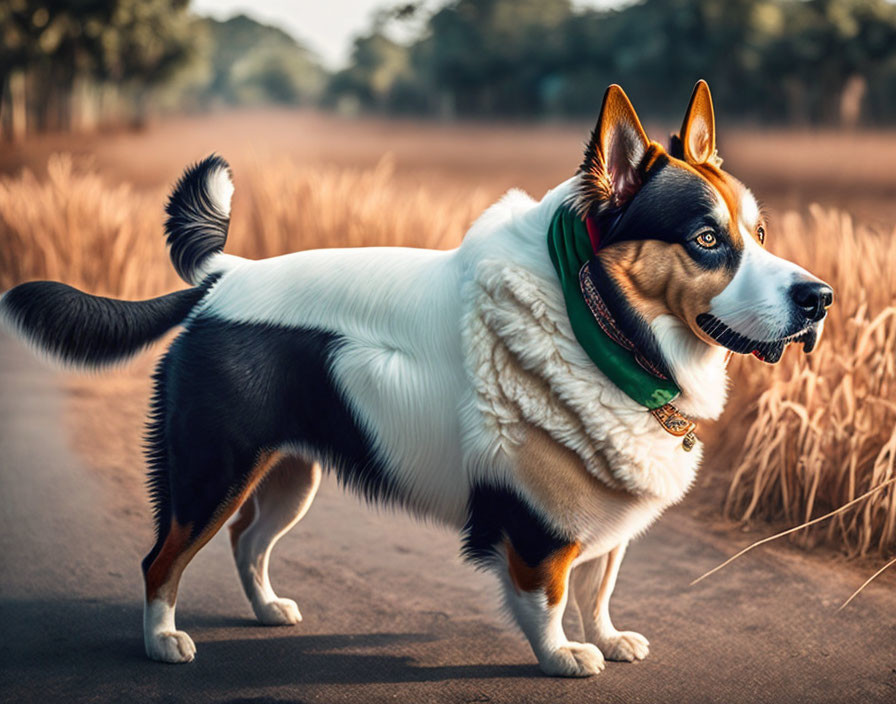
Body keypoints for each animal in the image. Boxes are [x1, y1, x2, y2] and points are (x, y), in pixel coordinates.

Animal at [0, 81, 832, 676]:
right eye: (706, 240)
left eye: (760, 234)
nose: (820, 298)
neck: (598, 321)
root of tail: (222, 276)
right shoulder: (538, 516)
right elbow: (550, 592)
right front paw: (563, 656)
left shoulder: (600, 509)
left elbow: (602, 582)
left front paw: (608, 636)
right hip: (213, 468)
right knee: (163, 558)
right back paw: (161, 642)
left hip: (288, 472)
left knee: (247, 540)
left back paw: (267, 609)